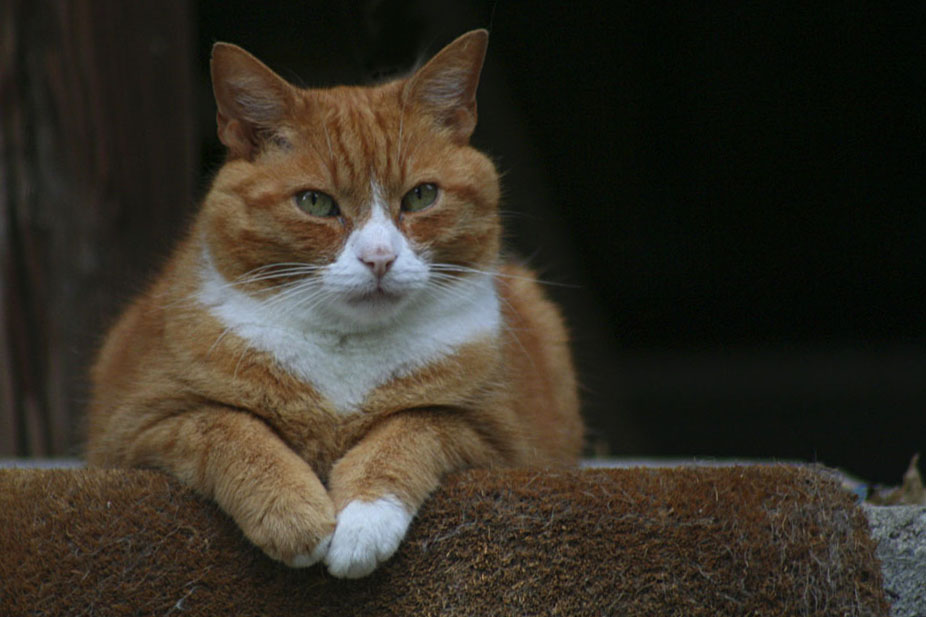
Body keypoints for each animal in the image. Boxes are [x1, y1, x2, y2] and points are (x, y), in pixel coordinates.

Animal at [85, 28, 580, 576]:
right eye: (315, 202)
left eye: (421, 196)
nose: (380, 258)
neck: (346, 352)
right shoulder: (136, 426)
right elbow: (229, 427)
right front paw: (291, 515)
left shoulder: (503, 440)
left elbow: (412, 428)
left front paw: (363, 524)